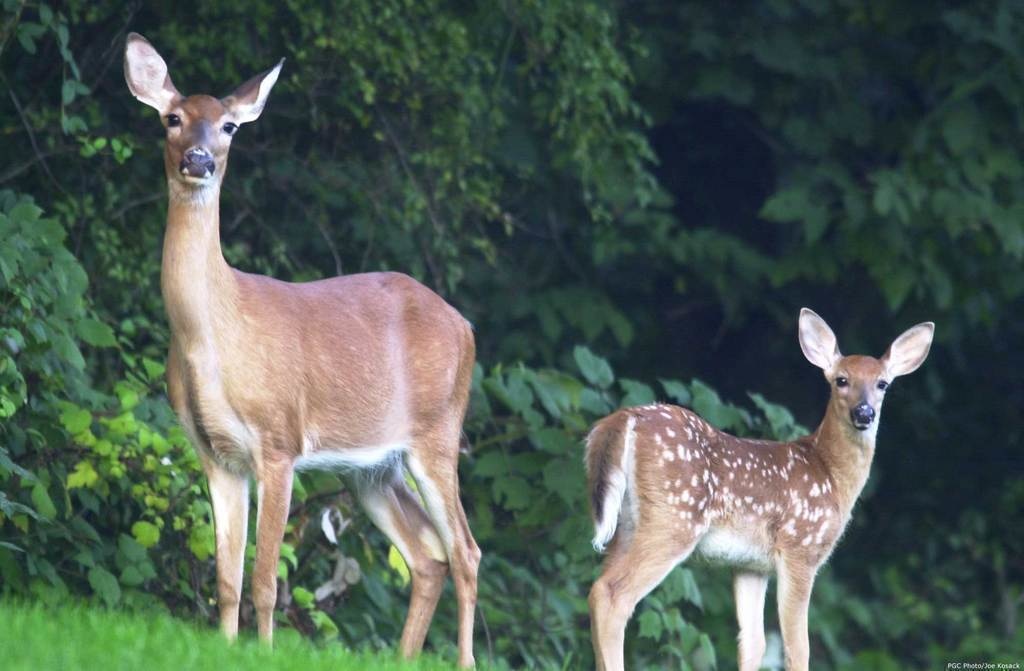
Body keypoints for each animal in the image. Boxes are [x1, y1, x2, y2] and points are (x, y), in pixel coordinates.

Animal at [124, 34, 483, 667]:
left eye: (229, 126)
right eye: (172, 119)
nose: (199, 160)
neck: (213, 336)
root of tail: (465, 325)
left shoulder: (279, 442)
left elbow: (266, 579)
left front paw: (264, 650)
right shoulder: (215, 453)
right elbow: (227, 578)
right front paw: (226, 646)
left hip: (437, 434)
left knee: (466, 551)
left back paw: (462, 659)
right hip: (371, 468)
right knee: (427, 554)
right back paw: (405, 656)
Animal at [585, 309, 937, 671]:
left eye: (883, 384)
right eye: (841, 380)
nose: (864, 412)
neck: (830, 474)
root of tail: (625, 418)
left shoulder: (750, 565)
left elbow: (753, 643)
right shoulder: (799, 548)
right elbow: (797, 646)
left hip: (627, 525)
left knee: (597, 588)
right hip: (674, 518)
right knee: (611, 594)